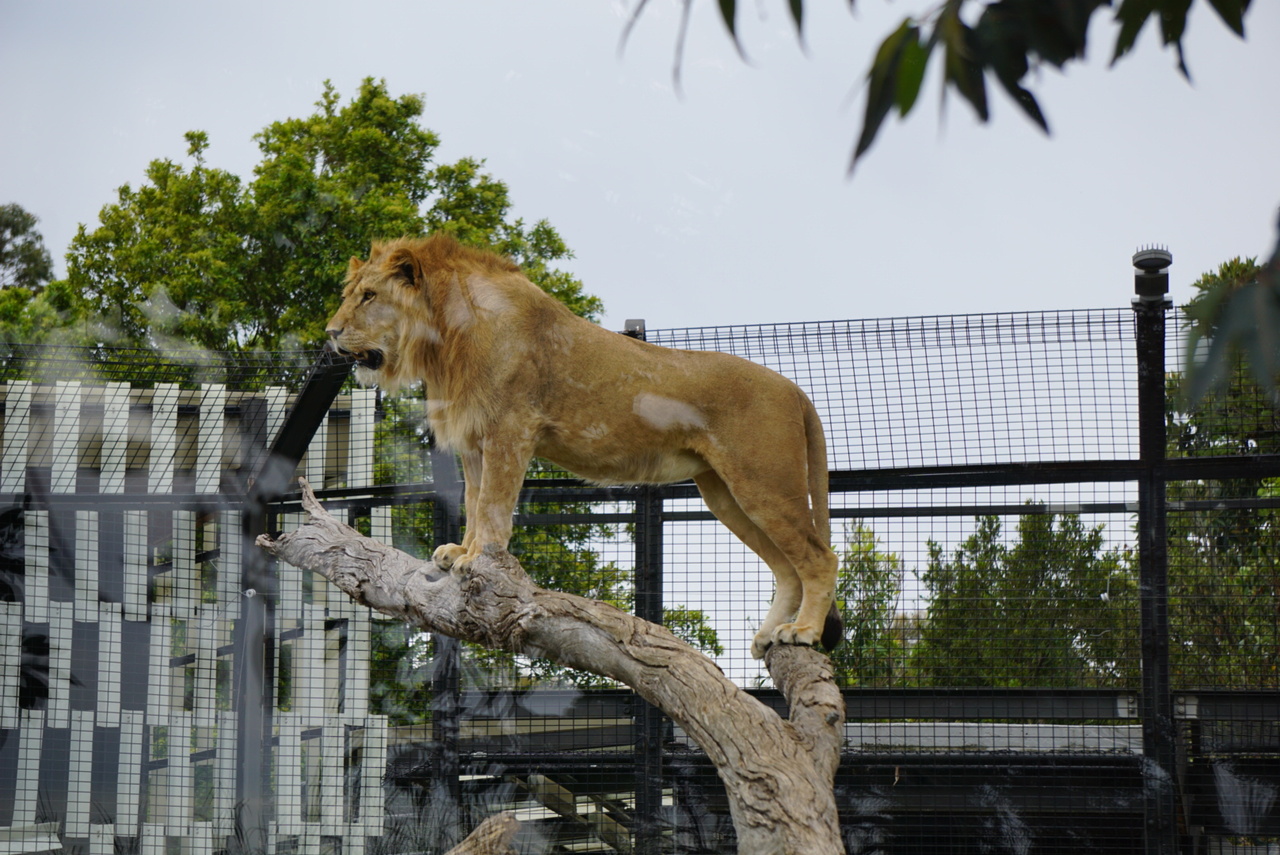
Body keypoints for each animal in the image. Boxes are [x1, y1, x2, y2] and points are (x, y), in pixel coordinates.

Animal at [330, 234, 844, 655]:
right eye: (348, 295)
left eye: (370, 296)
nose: (331, 333)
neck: (444, 339)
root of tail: (796, 391)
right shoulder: (474, 438)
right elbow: (475, 501)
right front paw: (461, 551)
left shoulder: (510, 430)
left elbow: (494, 505)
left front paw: (479, 558)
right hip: (724, 493)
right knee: (786, 568)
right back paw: (768, 636)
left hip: (764, 483)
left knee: (819, 557)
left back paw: (802, 632)